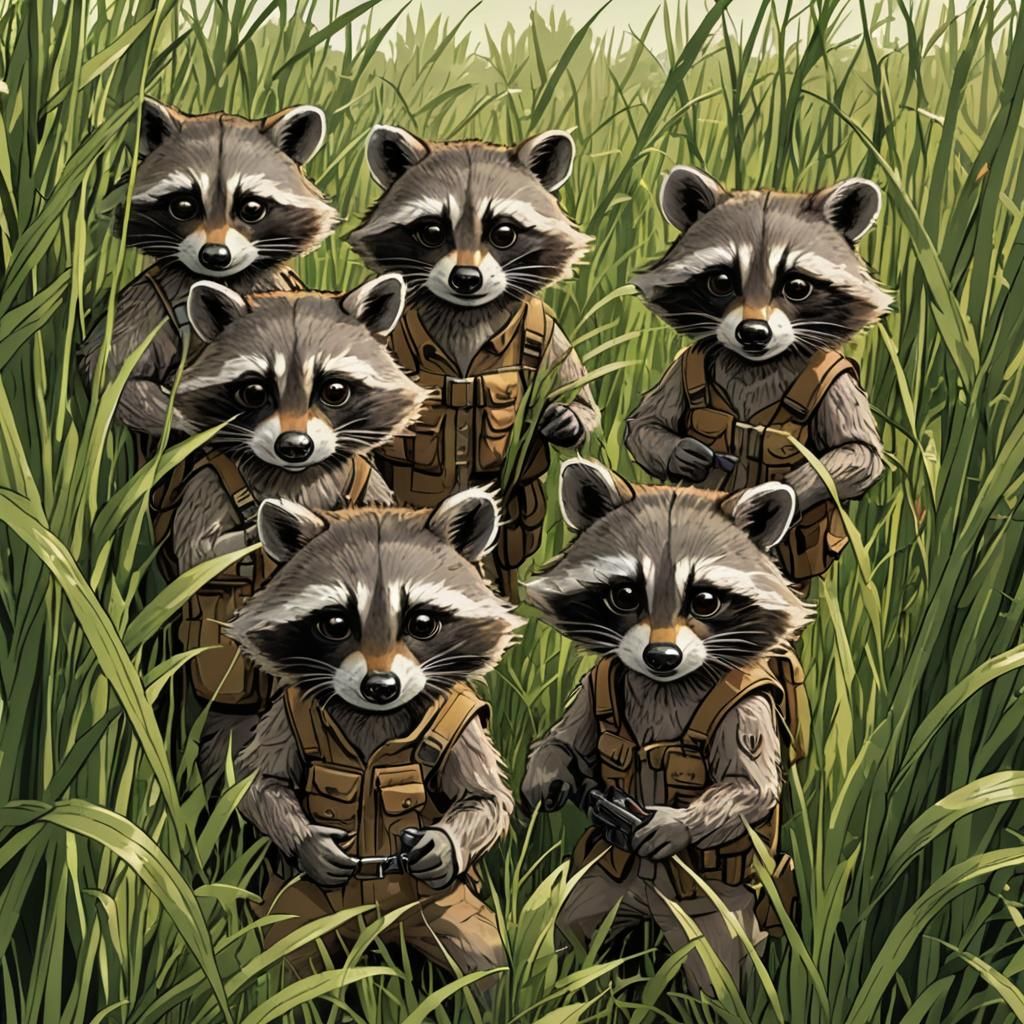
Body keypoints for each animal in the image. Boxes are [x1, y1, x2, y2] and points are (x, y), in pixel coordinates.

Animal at [80, 98, 339, 436]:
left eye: (252, 208)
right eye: (183, 206)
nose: (215, 256)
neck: (218, 279)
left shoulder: (275, 288)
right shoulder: (149, 299)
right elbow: (113, 374)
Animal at [171, 274, 426, 788]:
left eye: (334, 390)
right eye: (253, 391)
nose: (294, 446)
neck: (296, 474)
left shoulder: (367, 479)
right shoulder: (209, 478)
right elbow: (197, 554)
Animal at [228, 491, 520, 978]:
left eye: (422, 623)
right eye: (335, 623)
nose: (381, 686)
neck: (374, 716)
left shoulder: (464, 723)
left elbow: (486, 798)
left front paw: (443, 846)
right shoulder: (288, 712)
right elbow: (260, 784)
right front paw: (311, 843)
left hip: (439, 909)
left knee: (486, 964)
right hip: (306, 908)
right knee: (283, 959)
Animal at [521, 459, 812, 993]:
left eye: (705, 600)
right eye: (624, 594)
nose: (662, 656)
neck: (666, 684)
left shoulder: (748, 704)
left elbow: (752, 786)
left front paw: (675, 824)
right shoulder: (597, 683)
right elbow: (564, 740)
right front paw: (547, 775)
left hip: (710, 907)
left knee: (716, 976)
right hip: (607, 880)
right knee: (571, 928)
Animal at [625, 168, 887, 580]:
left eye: (797, 286)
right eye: (721, 281)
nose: (752, 333)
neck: (756, 363)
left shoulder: (837, 380)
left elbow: (860, 451)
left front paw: (786, 488)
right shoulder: (682, 366)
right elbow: (644, 426)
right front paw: (682, 452)